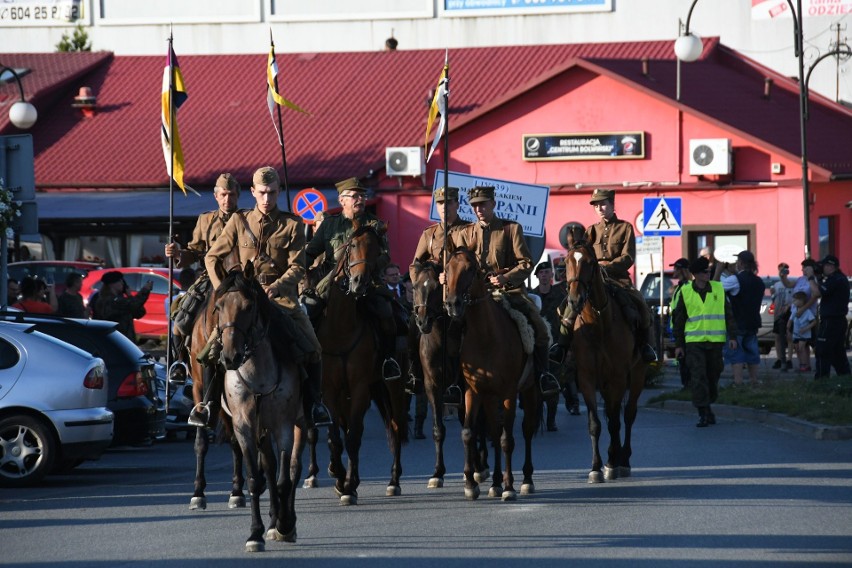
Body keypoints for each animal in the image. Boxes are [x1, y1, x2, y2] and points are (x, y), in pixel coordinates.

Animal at [211, 264, 304, 552]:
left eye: (249, 306)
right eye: (218, 306)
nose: (230, 357)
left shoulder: (284, 425)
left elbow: (285, 478)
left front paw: (285, 525)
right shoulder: (244, 426)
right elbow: (255, 476)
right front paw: (256, 533)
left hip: (302, 422)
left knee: (293, 467)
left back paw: (286, 520)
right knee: (270, 467)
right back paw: (273, 520)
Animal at [312, 220, 410, 504]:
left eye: (378, 250)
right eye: (352, 245)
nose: (359, 283)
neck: (341, 329)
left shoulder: (359, 388)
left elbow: (354, 436)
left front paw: (349, 485)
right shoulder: (330, 391)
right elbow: (335, 436)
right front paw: (337, 474)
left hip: (393, 386)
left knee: (396, 425)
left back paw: (393, 480)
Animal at [412, 262, 490, 488]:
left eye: (437, 288)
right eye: (415, 287)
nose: (423, 321)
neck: (442, 340)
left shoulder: (466, 388)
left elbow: (470, 425)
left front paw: (475, 469)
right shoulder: (432, 387)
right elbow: (438, 429)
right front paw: (437, 473)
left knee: (481, 424)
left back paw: (482, 464)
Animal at [440, 246, 540, 500]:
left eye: (470, 269)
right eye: (447, 269)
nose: (453, 304)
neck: (485, 337)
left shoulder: (509, 392)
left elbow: (507, 440)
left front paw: (509, 487)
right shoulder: (474, 391)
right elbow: (469, 432)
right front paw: (471, 484)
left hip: (529, 389)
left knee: (526, 430)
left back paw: (526, 479)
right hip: (489, 397)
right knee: (493, 432)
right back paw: (495, 482)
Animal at [564, 241, 644, 484]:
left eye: (590, 263)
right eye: (566, 261)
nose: (575, 300)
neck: (598, 323)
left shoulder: (618, 377)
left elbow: (615, 422)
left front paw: (611, 463)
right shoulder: (586, 379)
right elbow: (595, 423)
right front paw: (596, 467)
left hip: (637, 375)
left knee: (628, 415)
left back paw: (622, 460)